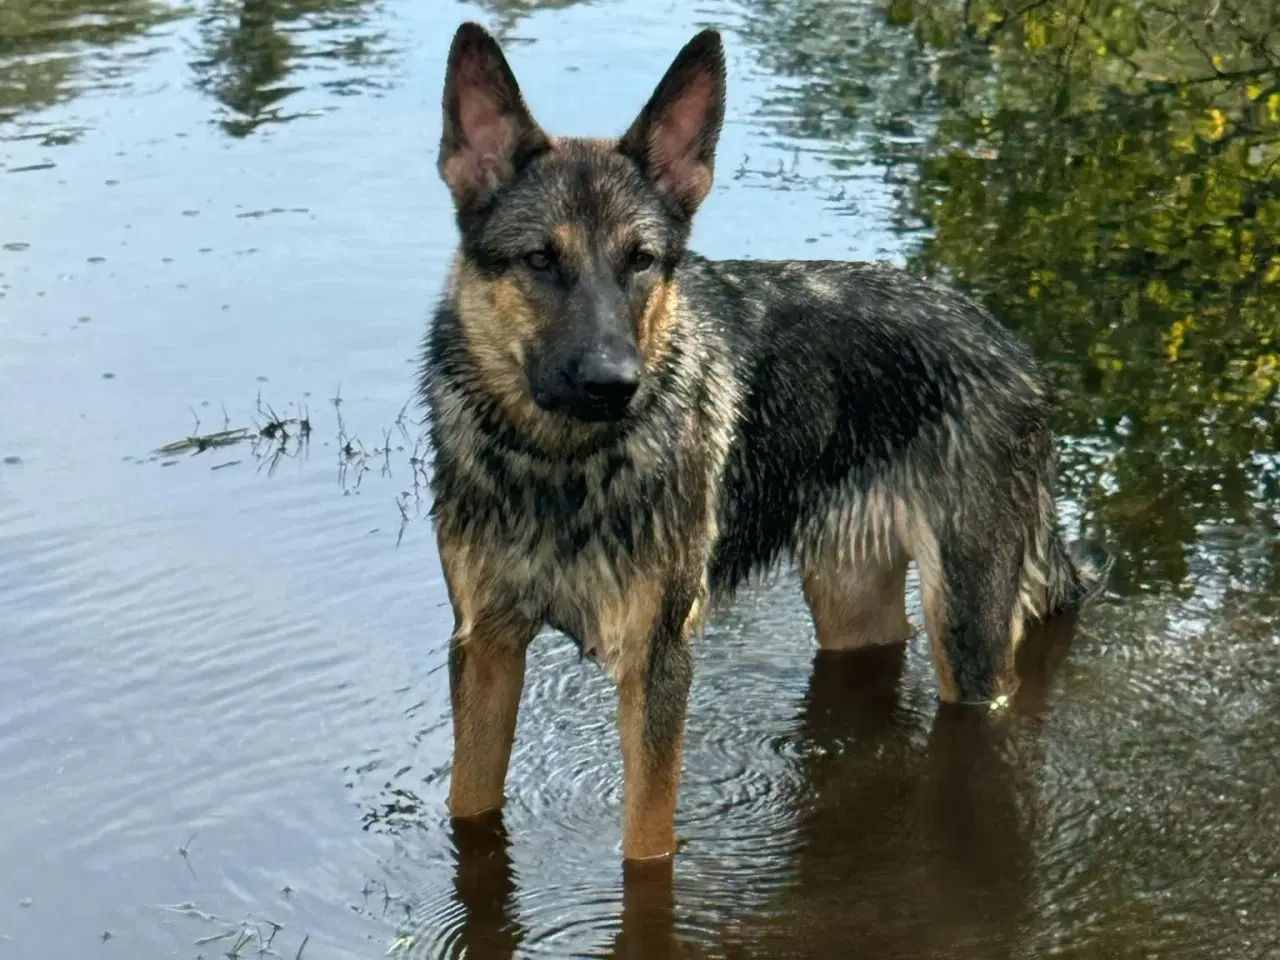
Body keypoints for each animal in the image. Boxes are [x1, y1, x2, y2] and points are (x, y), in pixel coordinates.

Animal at [417, 20, 1111, 865]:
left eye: (641, 261)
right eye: (540, 260)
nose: (616, 384)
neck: (560, 464)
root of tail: (1007, 342)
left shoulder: (655, 661)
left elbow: (646, 842)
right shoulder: (486, 646)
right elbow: (469, 806)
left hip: (968, 633)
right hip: (849, 601)